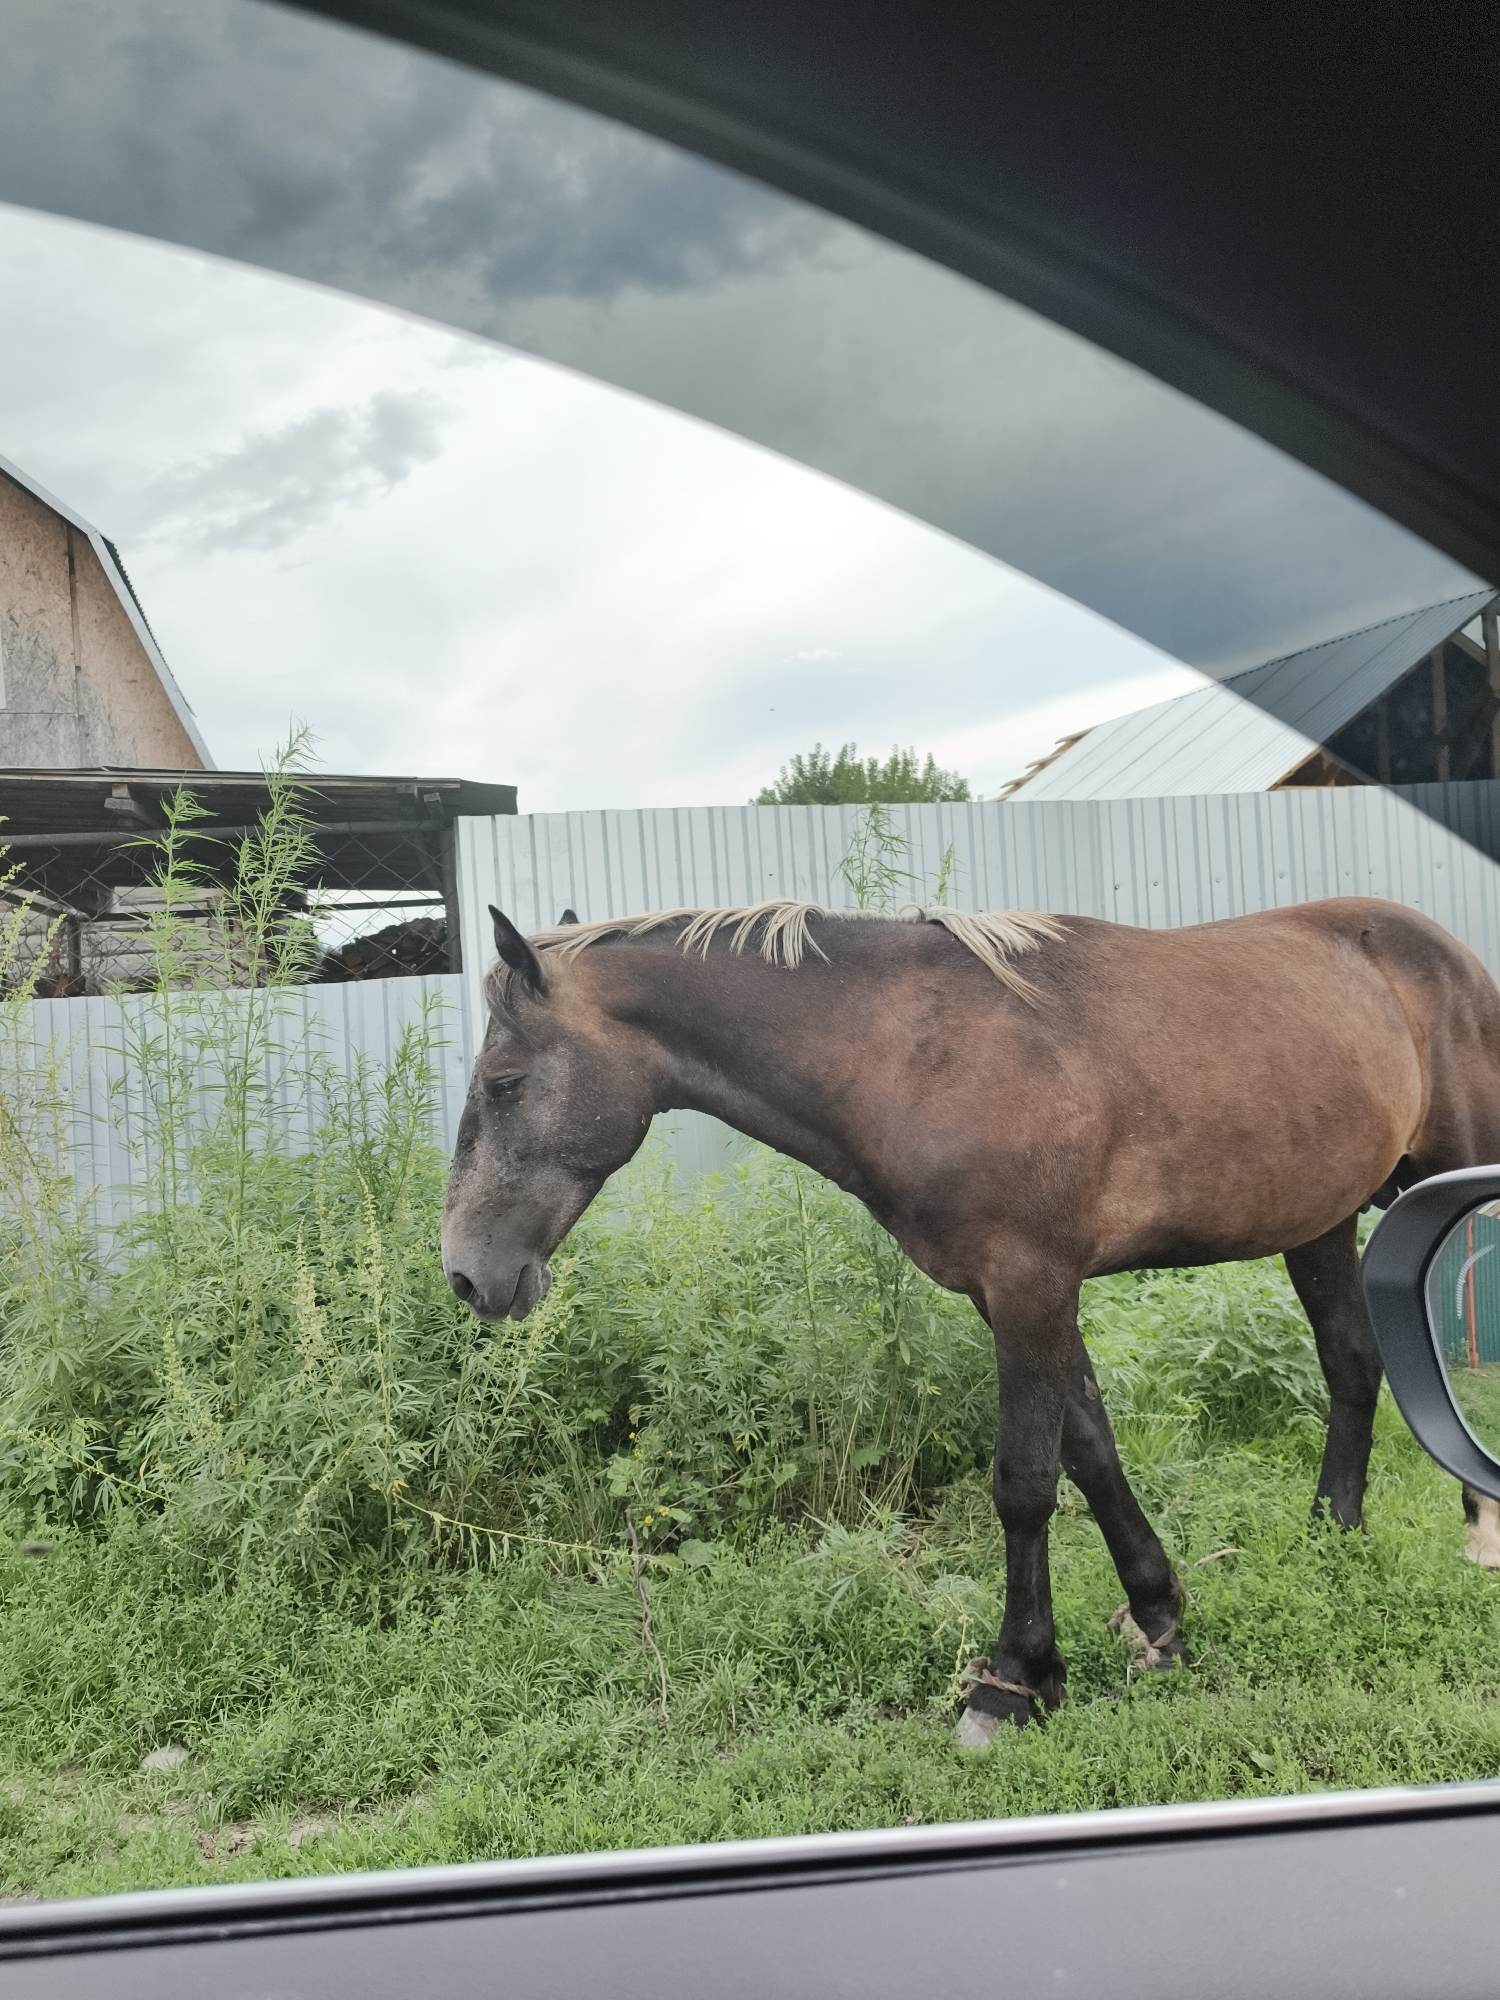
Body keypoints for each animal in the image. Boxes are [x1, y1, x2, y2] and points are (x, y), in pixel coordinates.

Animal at [440, 895, 1500, 1745]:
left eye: (504, 1083)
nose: (465, 1275)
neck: (920, 1052)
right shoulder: (1021, 1296)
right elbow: (1091, 1452)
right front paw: (1156, 1619)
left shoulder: (1032, 1283)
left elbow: (1025, 1482)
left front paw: (1012, 1684)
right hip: (1321, 1219)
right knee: (1353, 1363)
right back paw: (1333, 1538)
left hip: (1451, 1179)